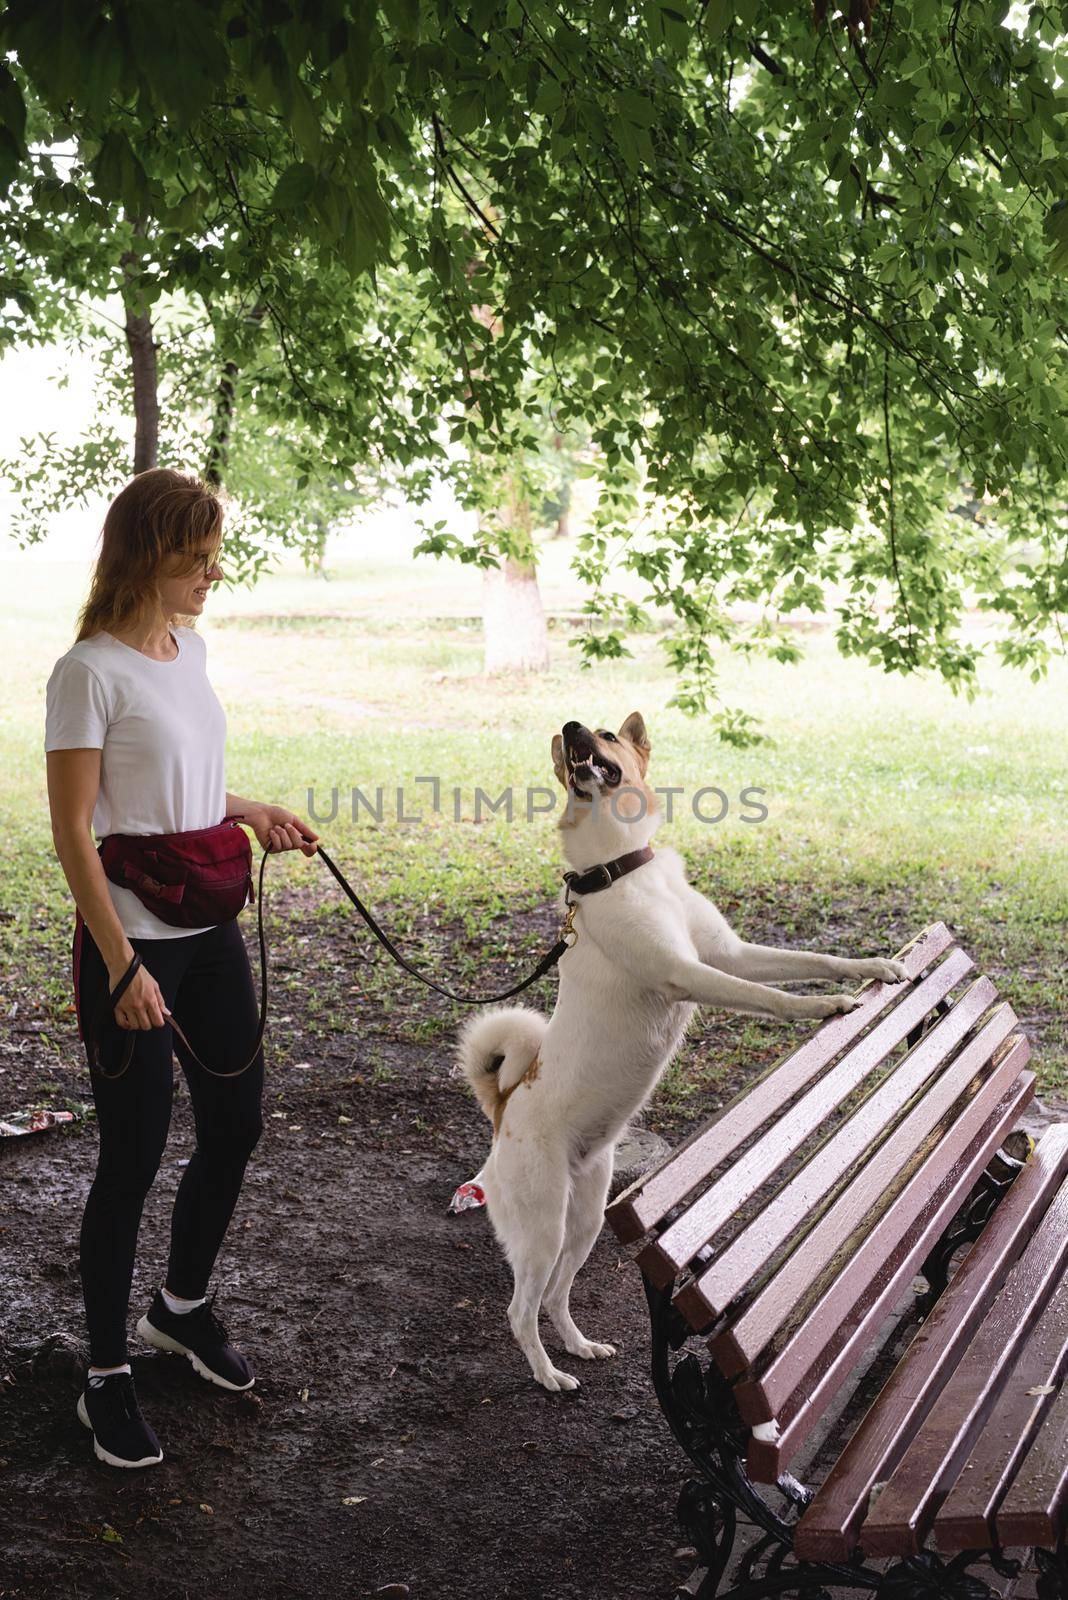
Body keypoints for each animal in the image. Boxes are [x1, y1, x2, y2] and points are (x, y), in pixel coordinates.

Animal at [460, 720, 908, 1395]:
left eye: (605, 733)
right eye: (571, 748)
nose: (569, 727)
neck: (621, 868)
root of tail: (504, 1103)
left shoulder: (728, 953)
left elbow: (807, 961)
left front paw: (869, 968)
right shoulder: (687, 972)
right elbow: (771, 997)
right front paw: (825, 1006)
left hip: (585, 1219)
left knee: (556, 1296)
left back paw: (579, 1346)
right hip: (542, 1227)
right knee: (520, 1309)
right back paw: (547, 1374)